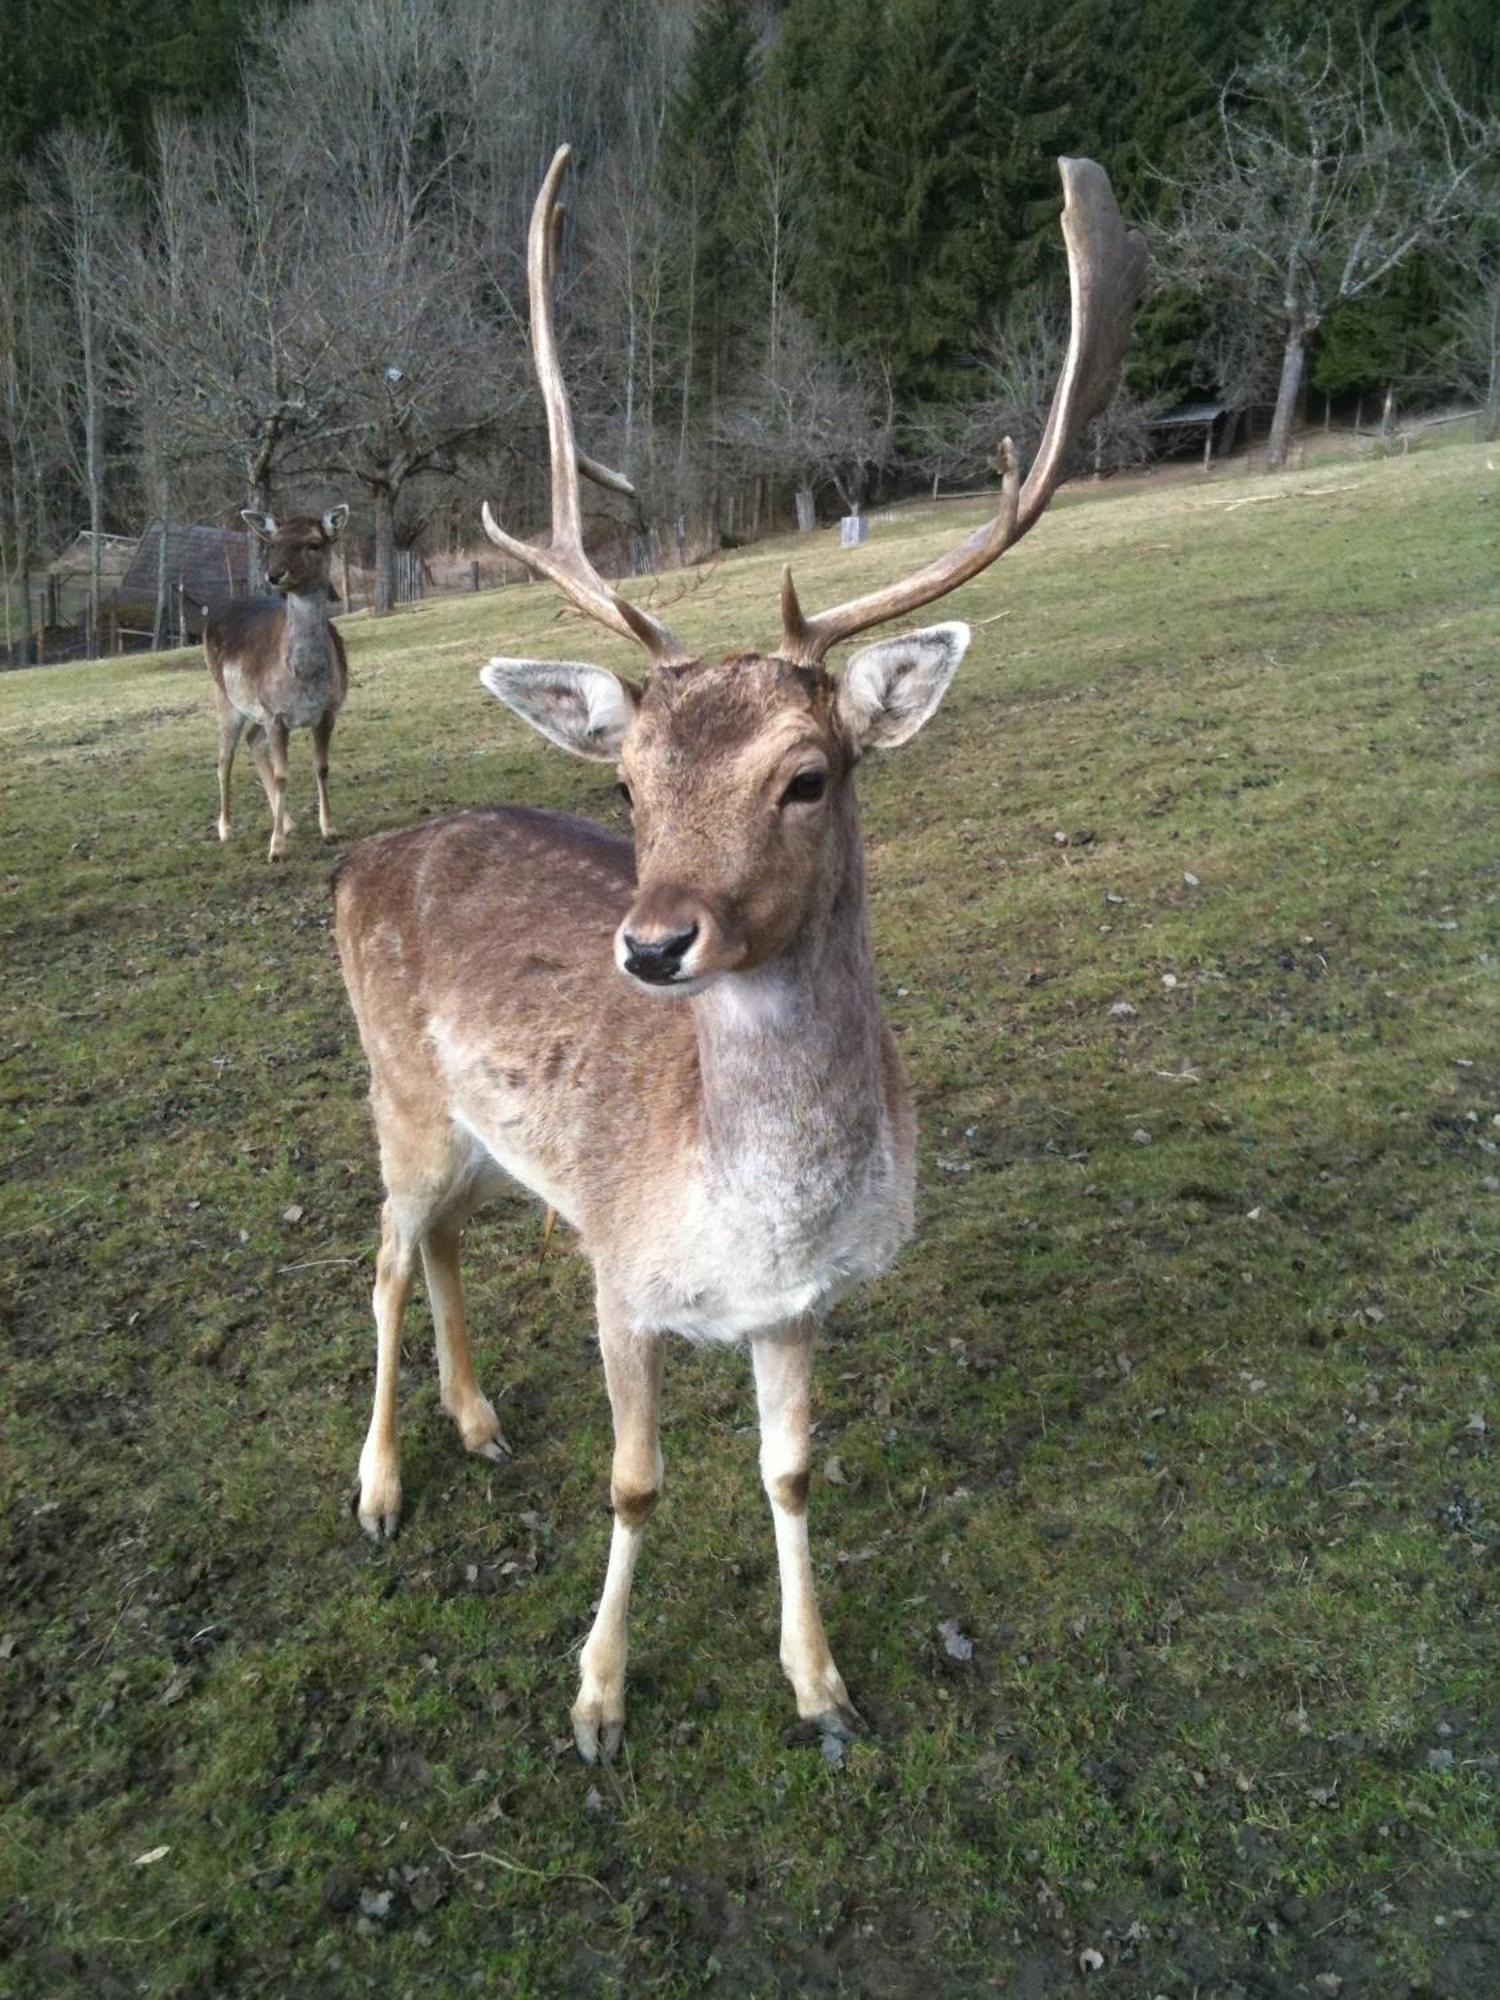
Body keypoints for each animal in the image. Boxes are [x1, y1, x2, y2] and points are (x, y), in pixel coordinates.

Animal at [206, 500, 352, 860]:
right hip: (225, 696)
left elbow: (321, 767)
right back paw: (225, 829)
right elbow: (283, 774)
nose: (274, 574)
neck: (305, 681)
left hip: (256, 710)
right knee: (224, 757)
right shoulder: (276, 715)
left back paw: (285, 821)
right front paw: (276, 849)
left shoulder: (328, 712)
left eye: (314, 543)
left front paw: (329, 831)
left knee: (252, 741)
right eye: (273, 544)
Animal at [334, 148, 1144, 1760]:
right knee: (383, 1259)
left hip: (481, 1139)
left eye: (809, 775)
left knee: (442, 1238)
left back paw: (478, 1419)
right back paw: (383, 1486)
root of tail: (353, 861)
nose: (653, 942)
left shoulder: (800, 1307)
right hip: (399, 1096)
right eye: (628, 785)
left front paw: (822, 1685)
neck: (745, 1218)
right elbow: (637, 1483)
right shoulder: (616, 1268)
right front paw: (596, 1699)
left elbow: (788, 1474)